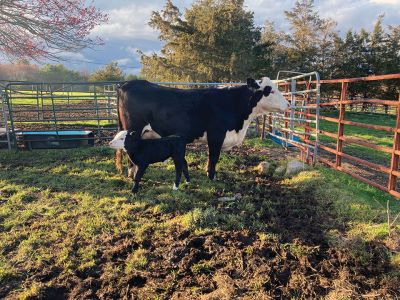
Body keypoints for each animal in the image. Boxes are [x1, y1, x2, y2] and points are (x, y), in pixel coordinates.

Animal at [115, 78, 288, 180]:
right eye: (270, 90)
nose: (288, 104)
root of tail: (127, 84)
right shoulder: (216, 135)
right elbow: (214, 157)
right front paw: (211, 177)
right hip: (133, 129)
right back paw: (132, 174)